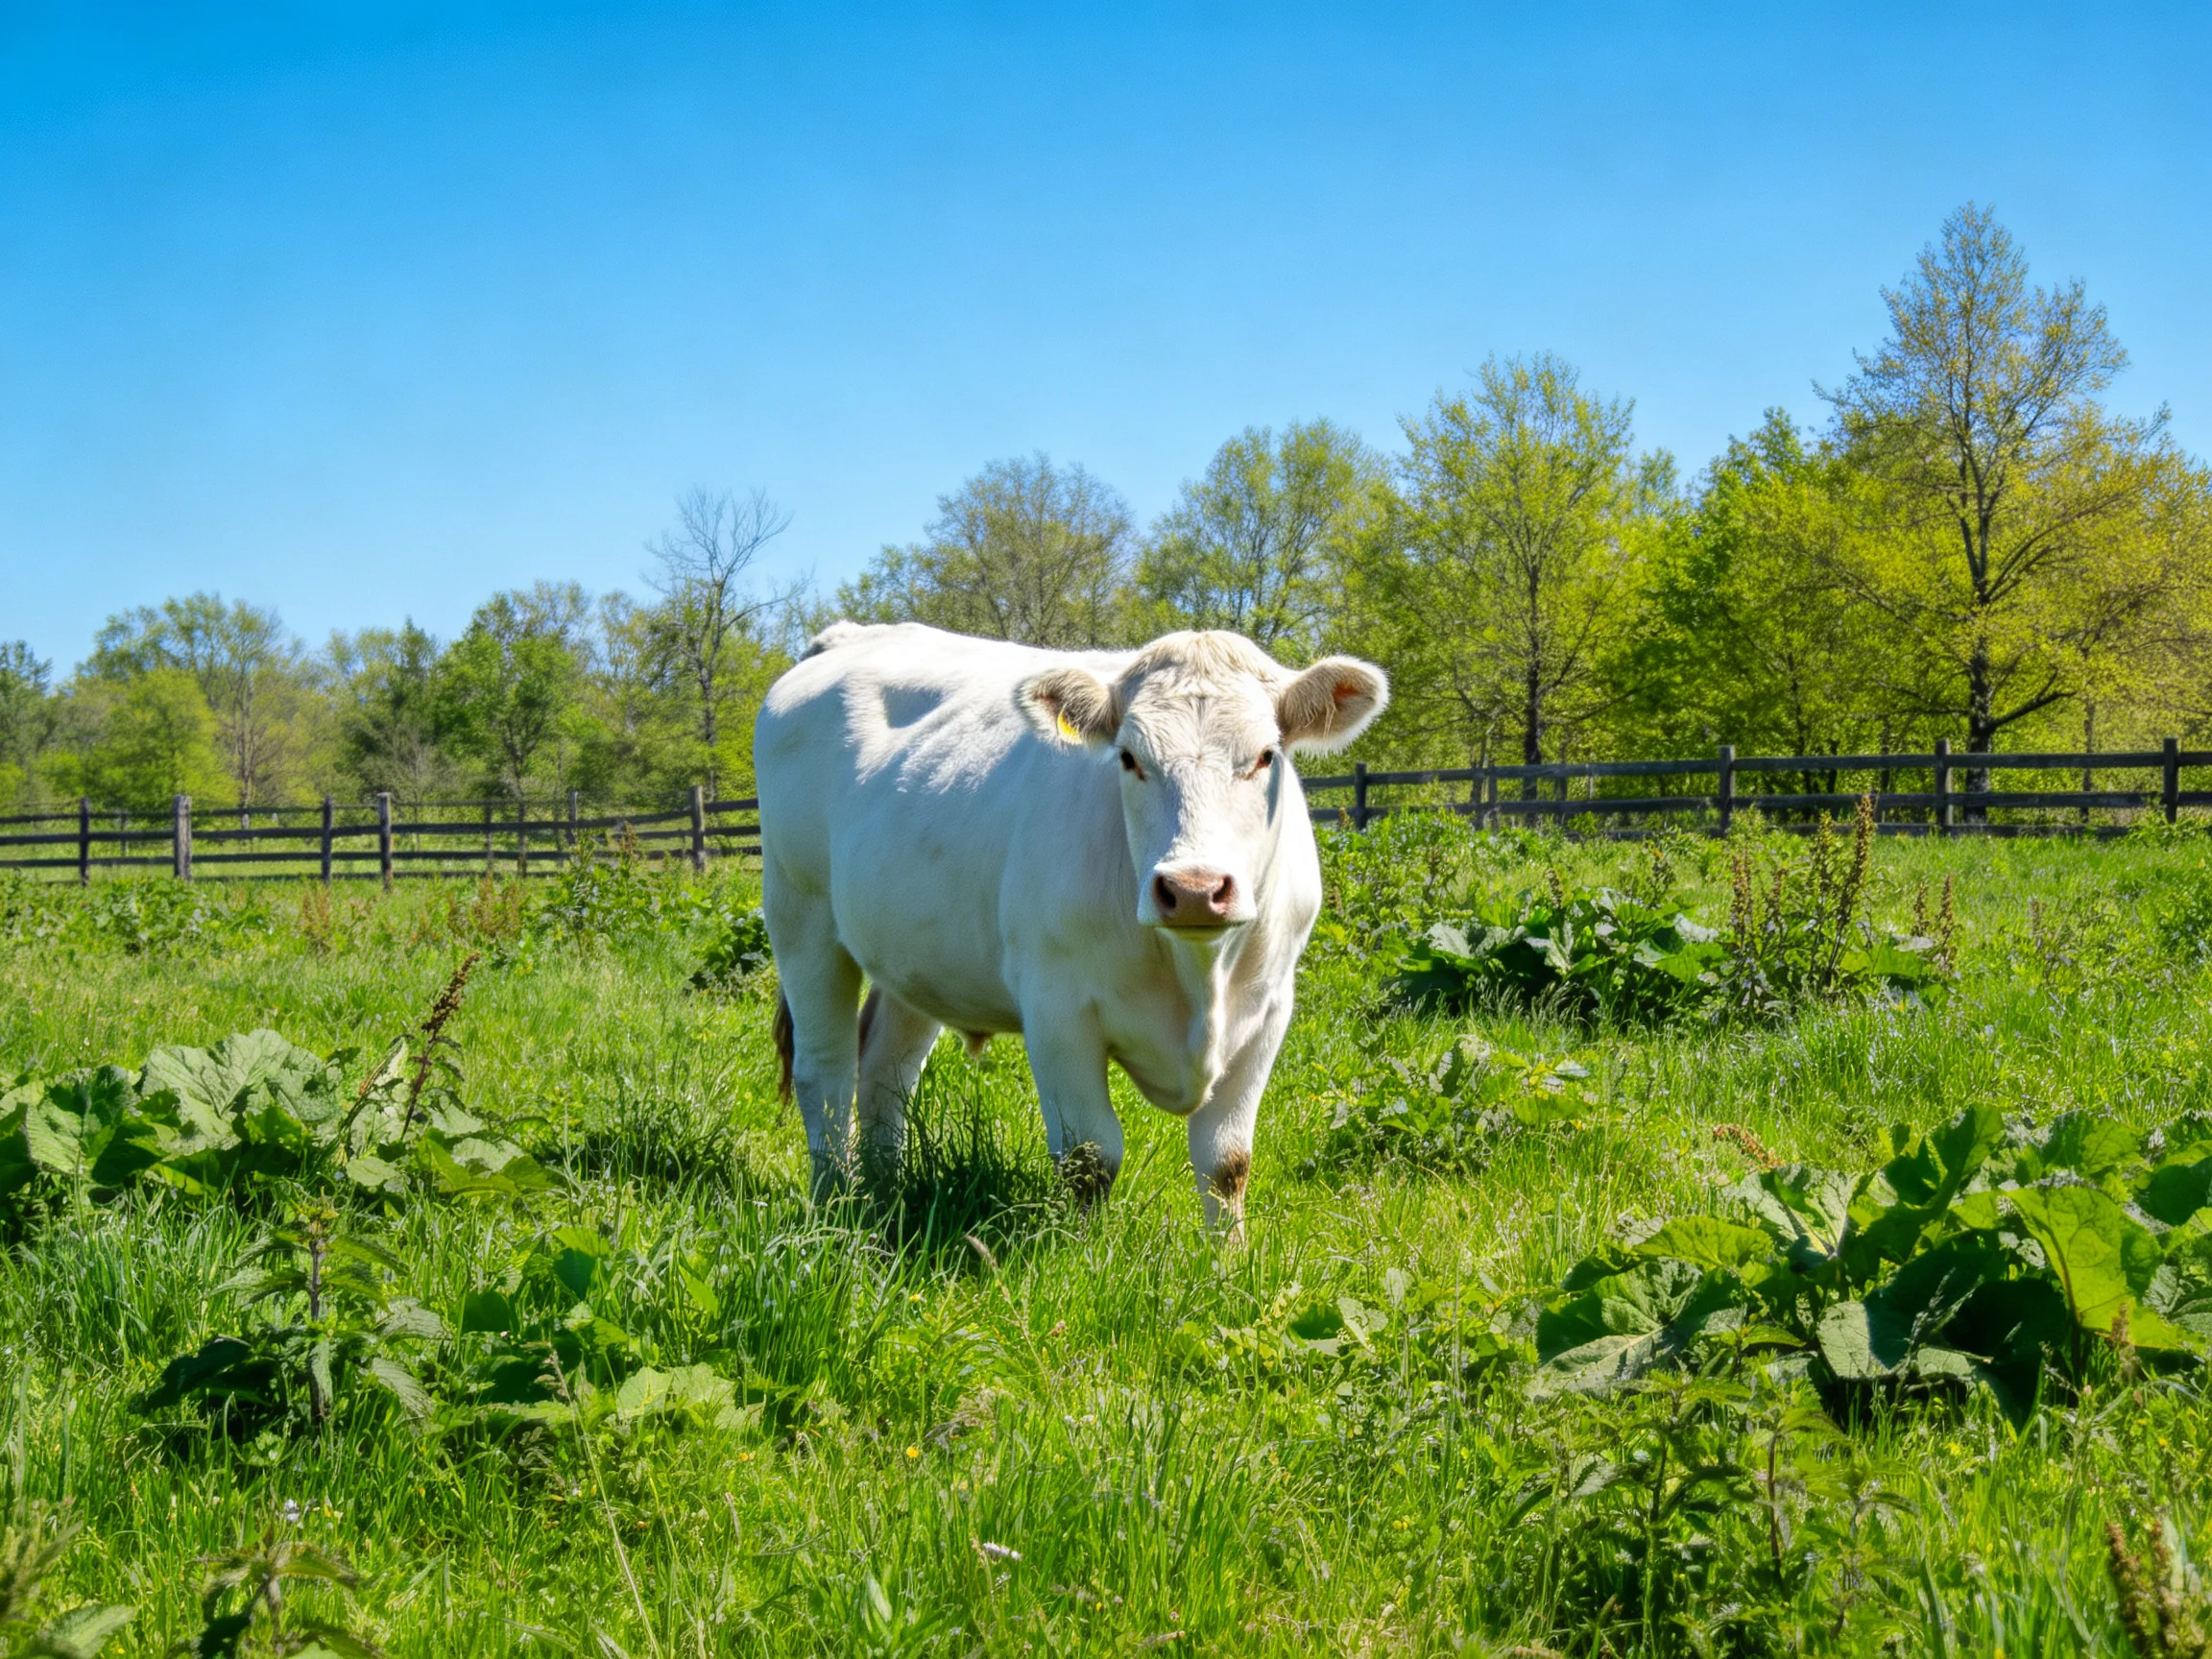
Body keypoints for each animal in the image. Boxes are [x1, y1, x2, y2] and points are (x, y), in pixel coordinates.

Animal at [752, 620, 1387, 1231]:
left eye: (1265, 755)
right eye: (1129, 758)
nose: (1193, 890)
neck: (1198, 975)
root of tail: (849, 636)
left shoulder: (1268, 1009)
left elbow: (1227, 1160)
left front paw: (1226, 1259)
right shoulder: (1057, 1010)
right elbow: (1090, 1158)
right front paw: (1088, 1255)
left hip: (913, 952)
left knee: (885, 1073)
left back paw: (884, 1197)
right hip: (800, 914)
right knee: (825, 1073)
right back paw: (835, 1206)